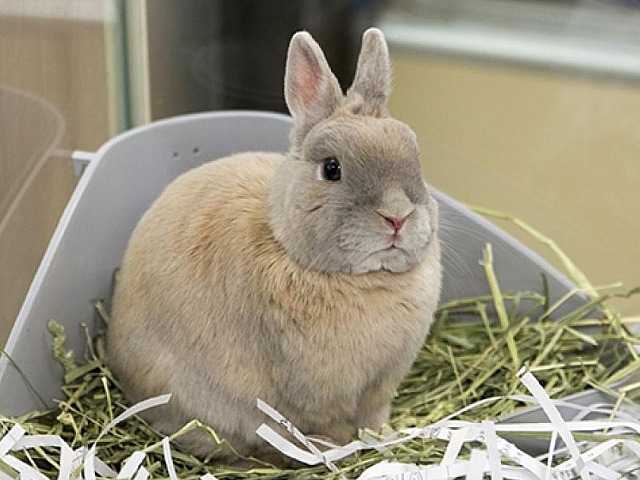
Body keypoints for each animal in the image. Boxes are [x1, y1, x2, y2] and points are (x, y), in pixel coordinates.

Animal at [107, 27, 441, 466]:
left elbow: (374, 417)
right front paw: (340, 447)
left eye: (415, 157)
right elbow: (333, 423)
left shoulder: (380, 385)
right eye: (331, 169)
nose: (397, 217)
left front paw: (384, 435)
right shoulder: (320, 394)